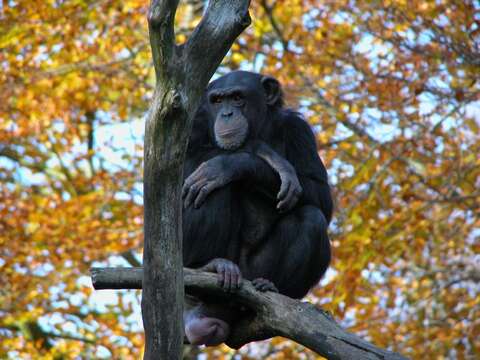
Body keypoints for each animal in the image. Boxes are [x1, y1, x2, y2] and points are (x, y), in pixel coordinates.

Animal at [182, 70, 332, 346]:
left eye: (237, 97)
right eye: (217, 100)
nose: (226, 114)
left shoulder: (300, 131)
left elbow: (322, 198)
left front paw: (237, 164)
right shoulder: (193, 124)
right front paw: (259, 153)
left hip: (252, 274)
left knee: (311, 218)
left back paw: (267, 288)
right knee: (208, 189)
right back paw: (209, 267)